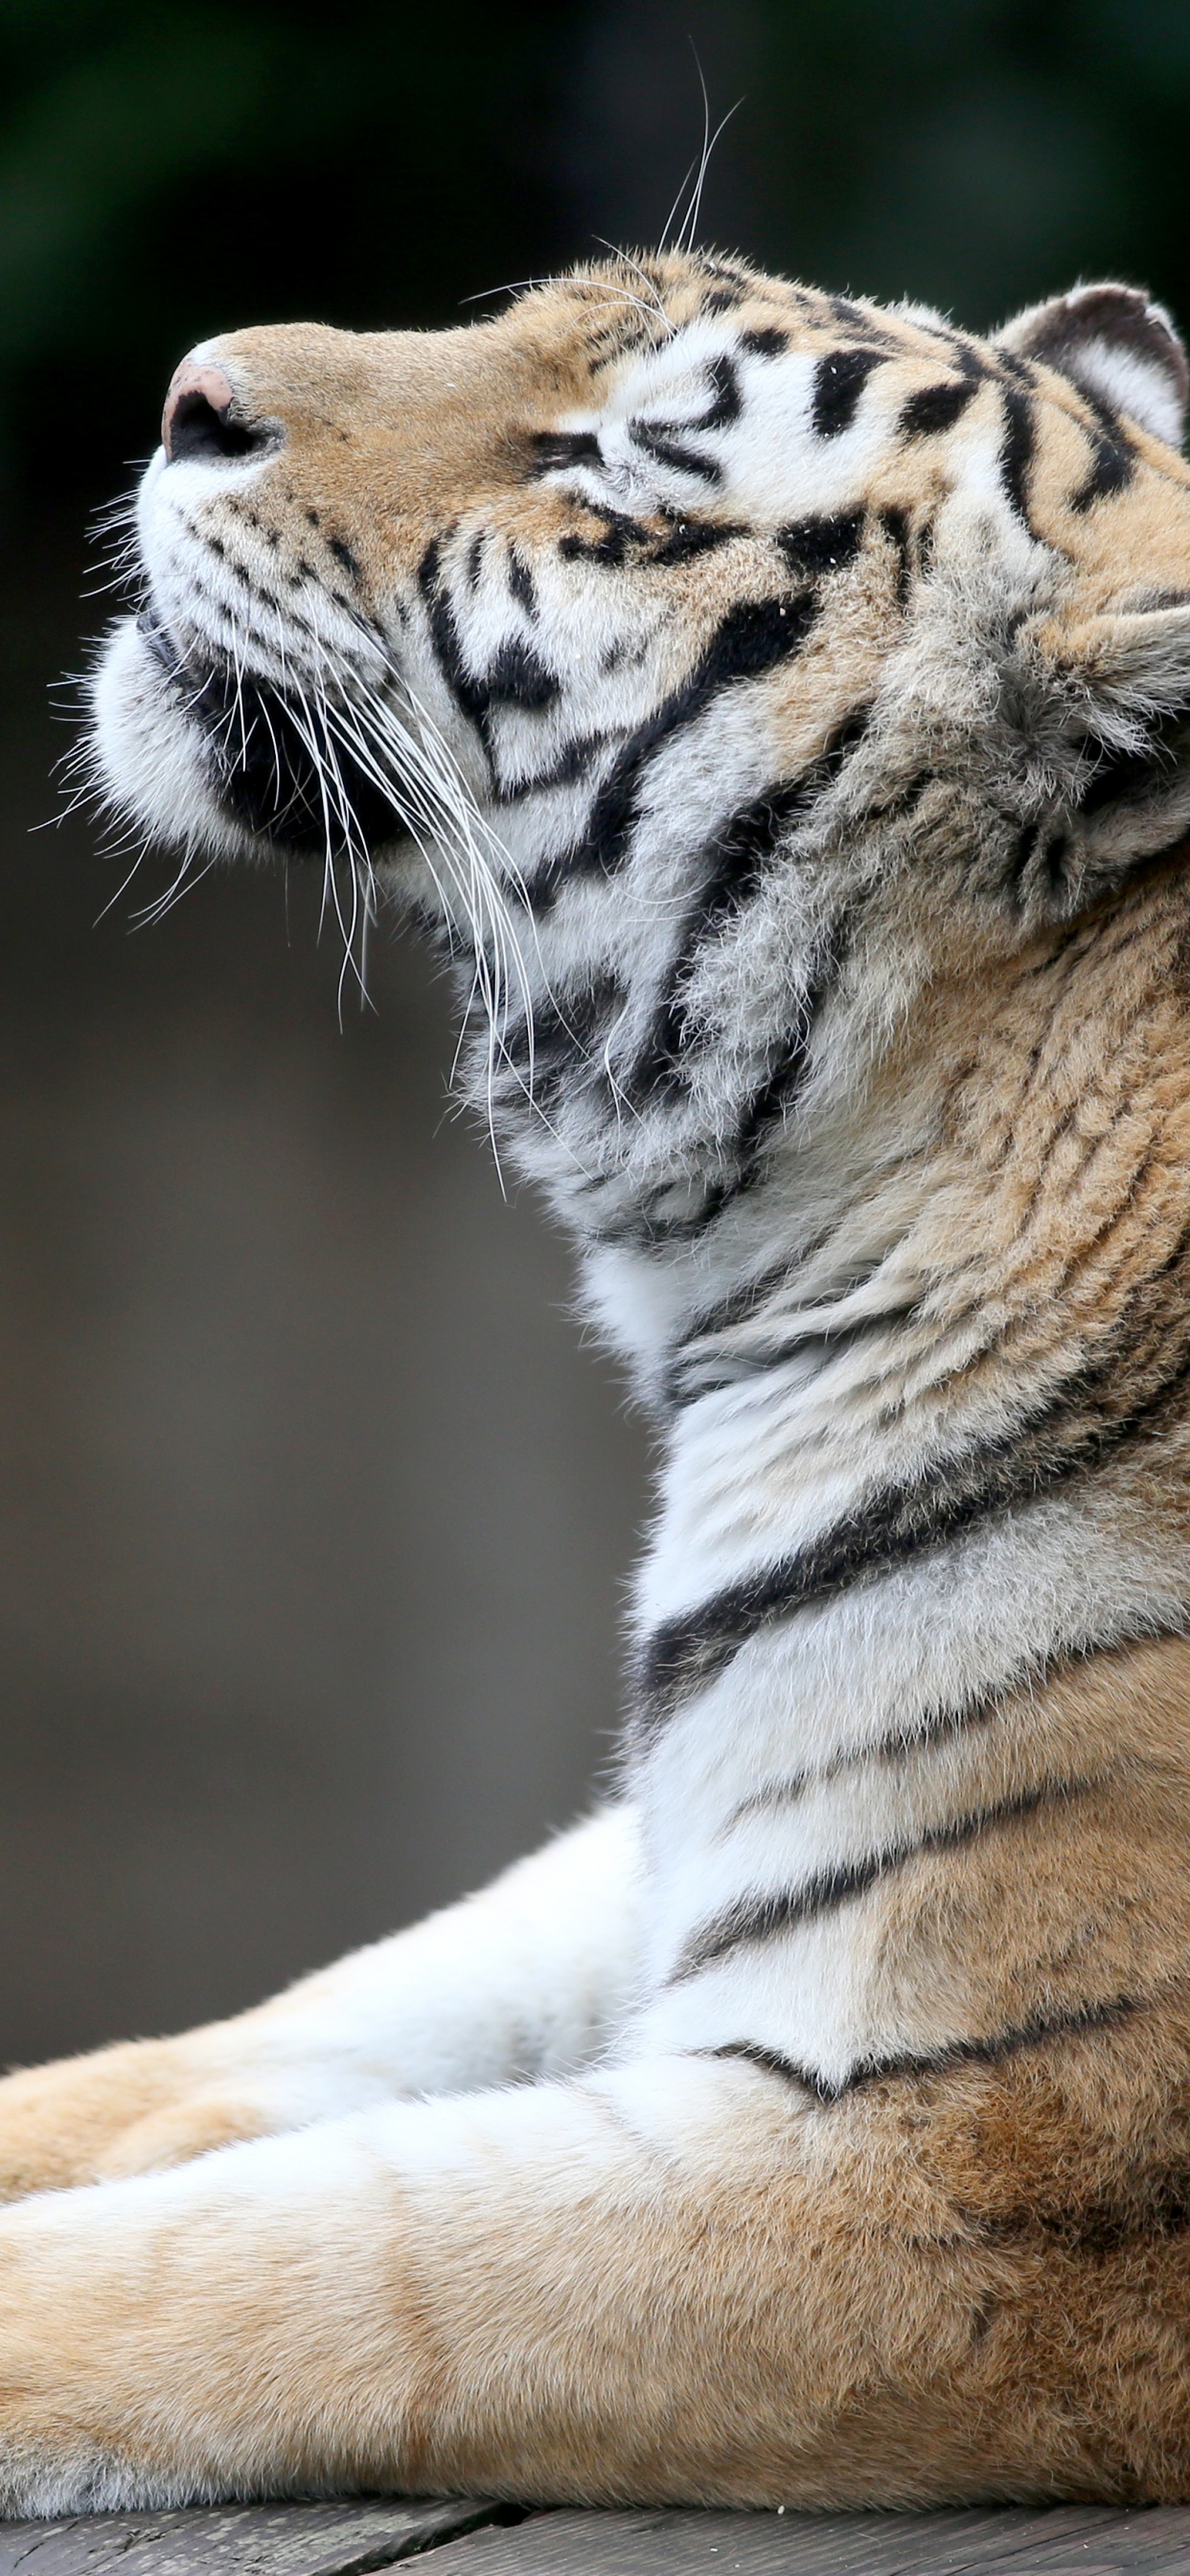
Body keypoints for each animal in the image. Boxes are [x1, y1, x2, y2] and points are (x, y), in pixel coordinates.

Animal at [1, 247, 1190, 2515]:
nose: (188, 395)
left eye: (623, 474)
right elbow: (295, 2028)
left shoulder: (972, 2160)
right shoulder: (674, 1839)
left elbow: (331, 2256)